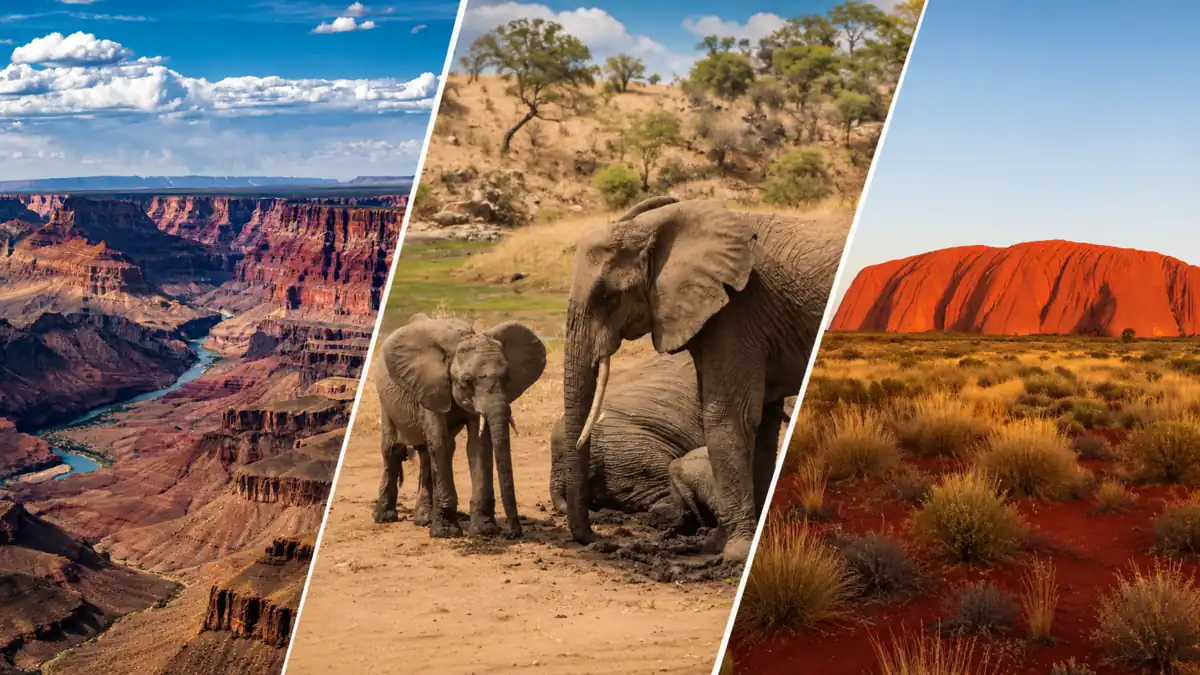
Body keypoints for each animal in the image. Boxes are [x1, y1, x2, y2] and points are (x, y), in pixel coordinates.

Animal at [373, 313, 547, 539]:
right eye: (466, 381)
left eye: (507, 376)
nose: (512, 533)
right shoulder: (431, 386)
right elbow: (439, 442)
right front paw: (446, 532)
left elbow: (477, 445)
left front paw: (484, 530)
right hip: (385, 399)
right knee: (392, 448)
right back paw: (384, 517)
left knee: (428, 452)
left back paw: (424, 519)